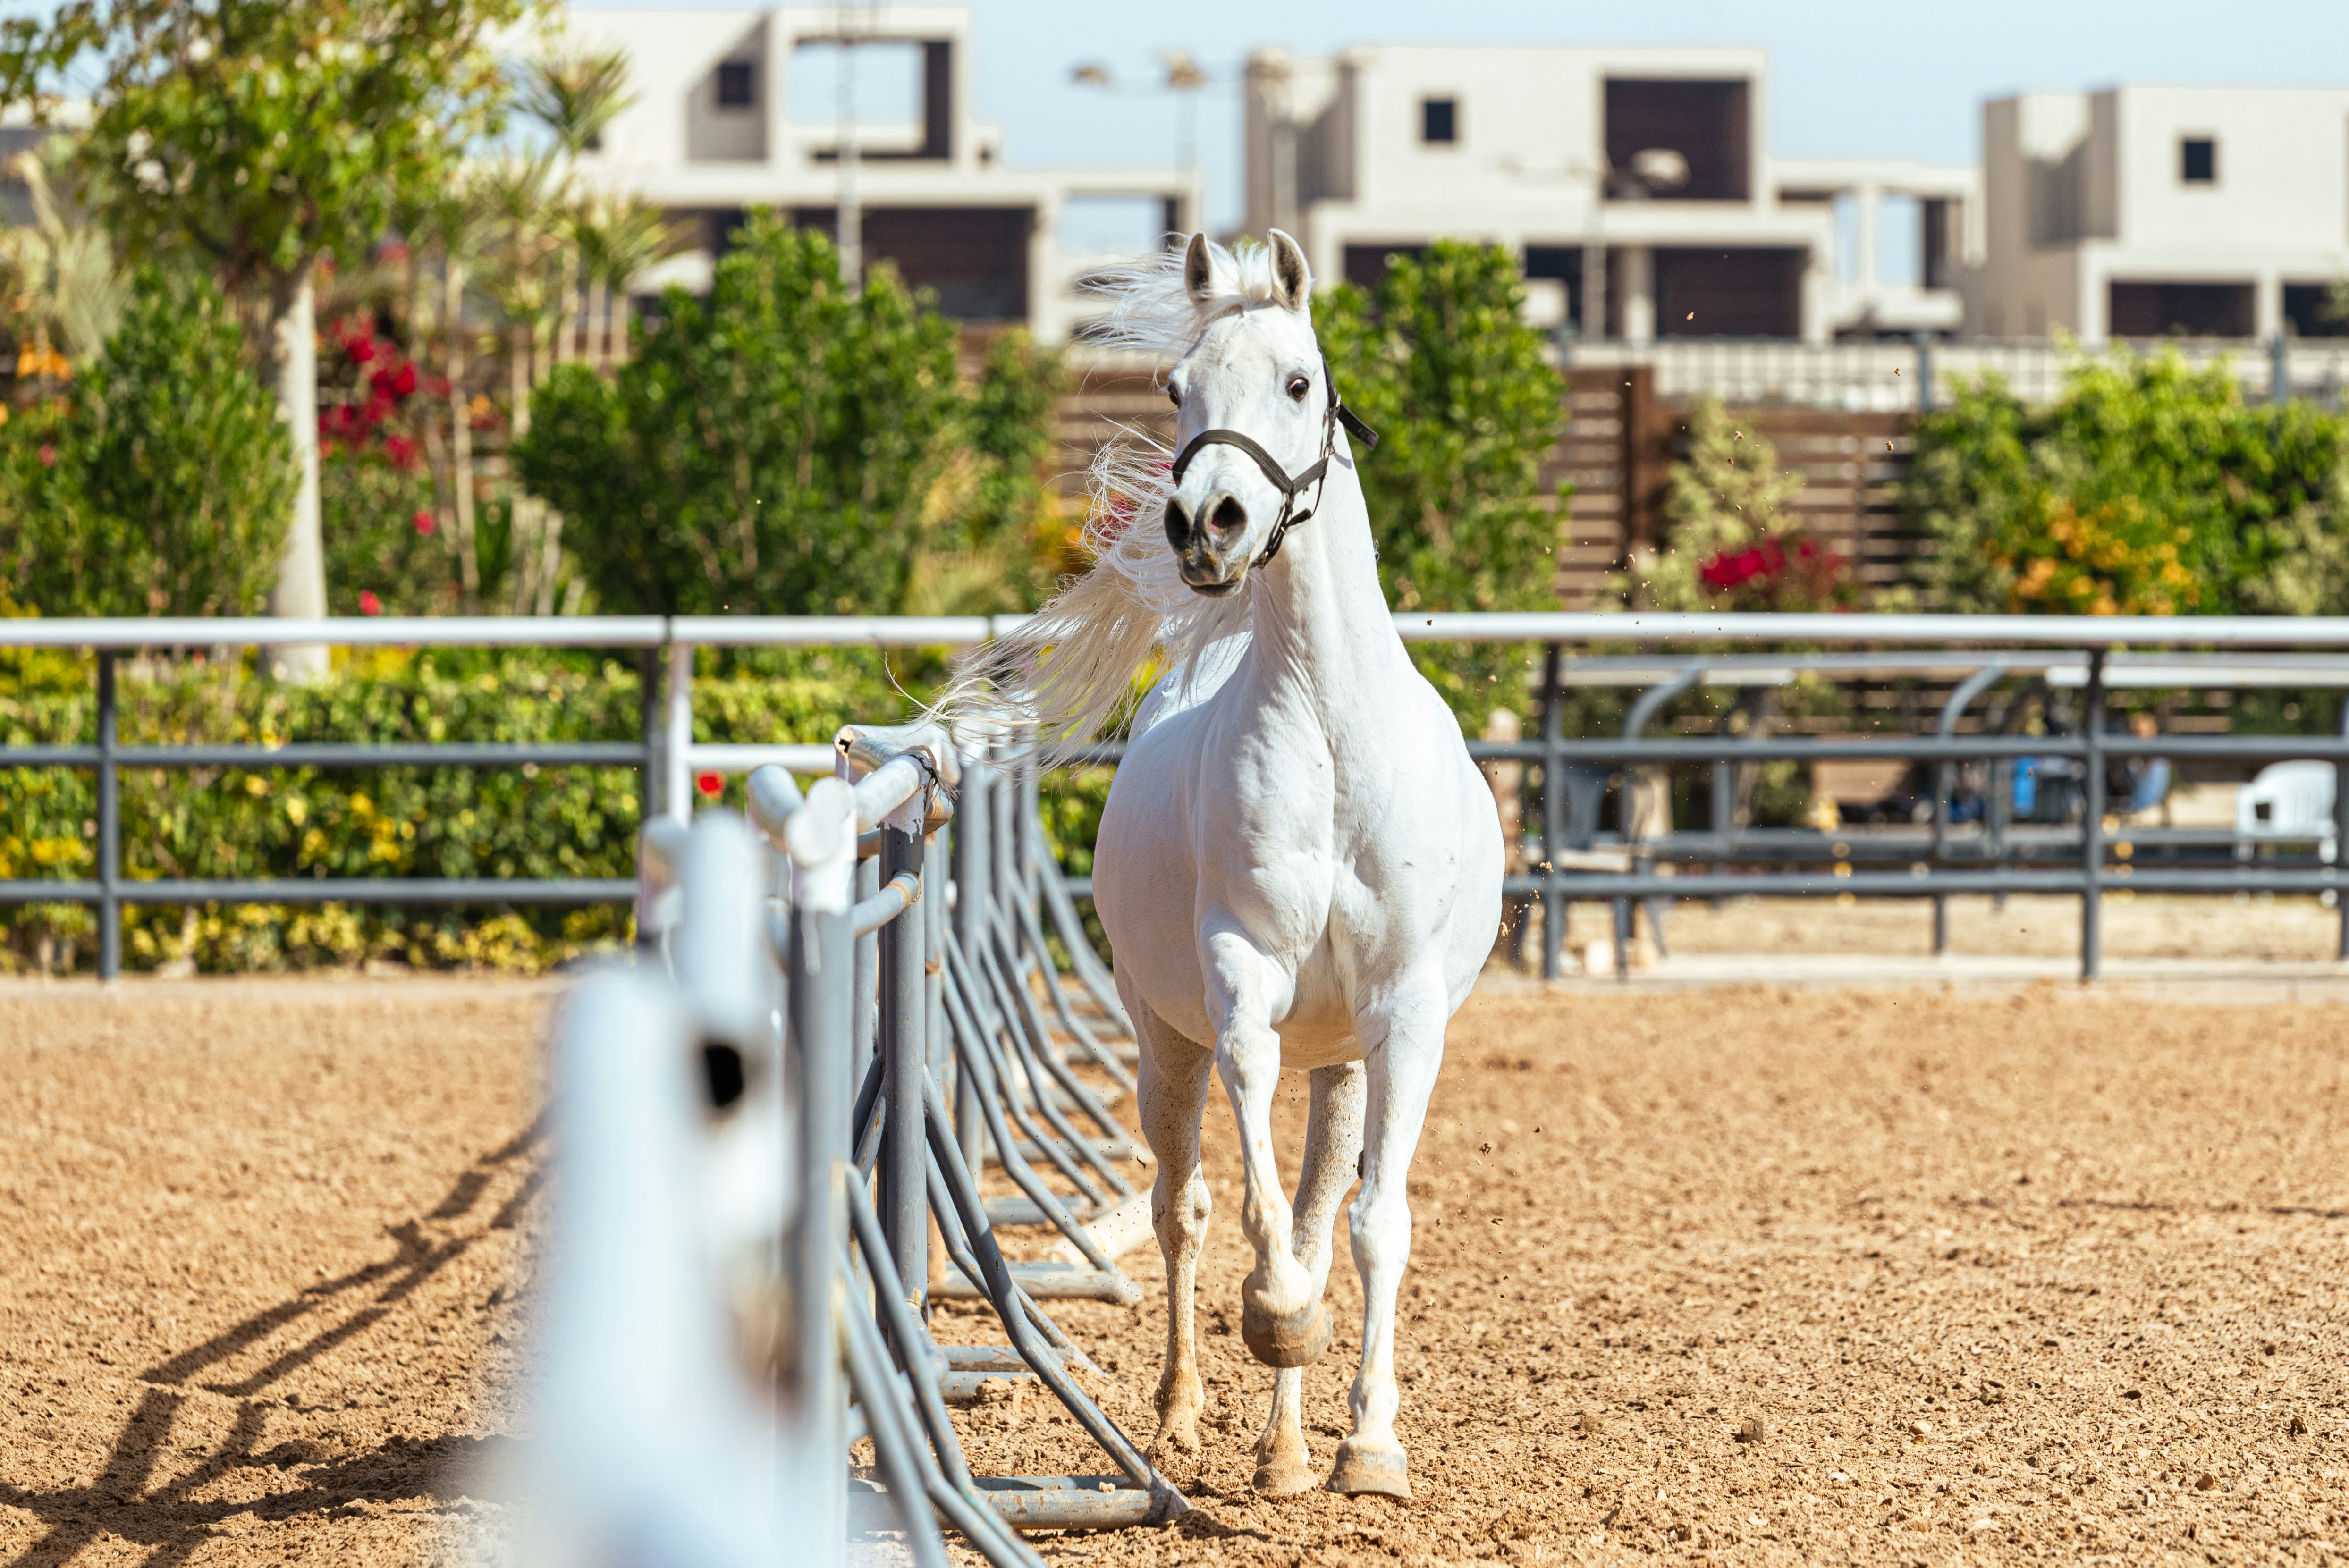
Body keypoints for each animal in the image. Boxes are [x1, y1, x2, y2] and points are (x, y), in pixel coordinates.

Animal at [951, 230, 1501, 1500]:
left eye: (1298, 381)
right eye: (1174, 390)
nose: (1208, 522)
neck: (1334, 734)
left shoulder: (1403, 1014)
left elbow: (1373, 1223)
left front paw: (1370, 1444)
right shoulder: (1240, 976)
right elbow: (1246, 1188)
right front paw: (1275, 1316)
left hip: (1339, 1063)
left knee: (1315, 1211)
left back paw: (1289, 1447)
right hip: (1165, 1040)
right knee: (1183, 1206)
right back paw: (1185, 1411)